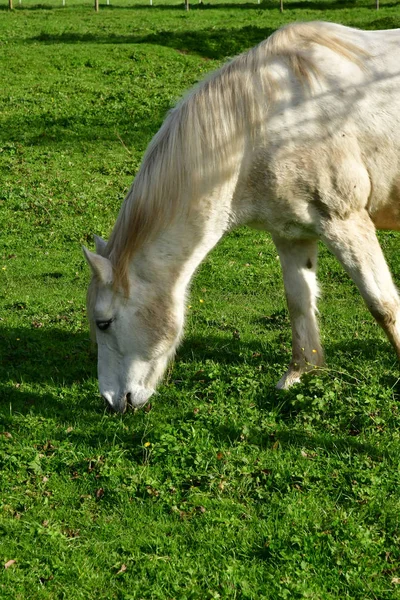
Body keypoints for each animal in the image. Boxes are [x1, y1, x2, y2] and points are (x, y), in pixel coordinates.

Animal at [83, 19, 400, 412]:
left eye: (104, 323)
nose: (113, 401)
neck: (270, 118)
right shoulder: (292, 234)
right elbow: (299, 302)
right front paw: (299, 374)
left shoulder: (346, 222)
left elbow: (382, 304)